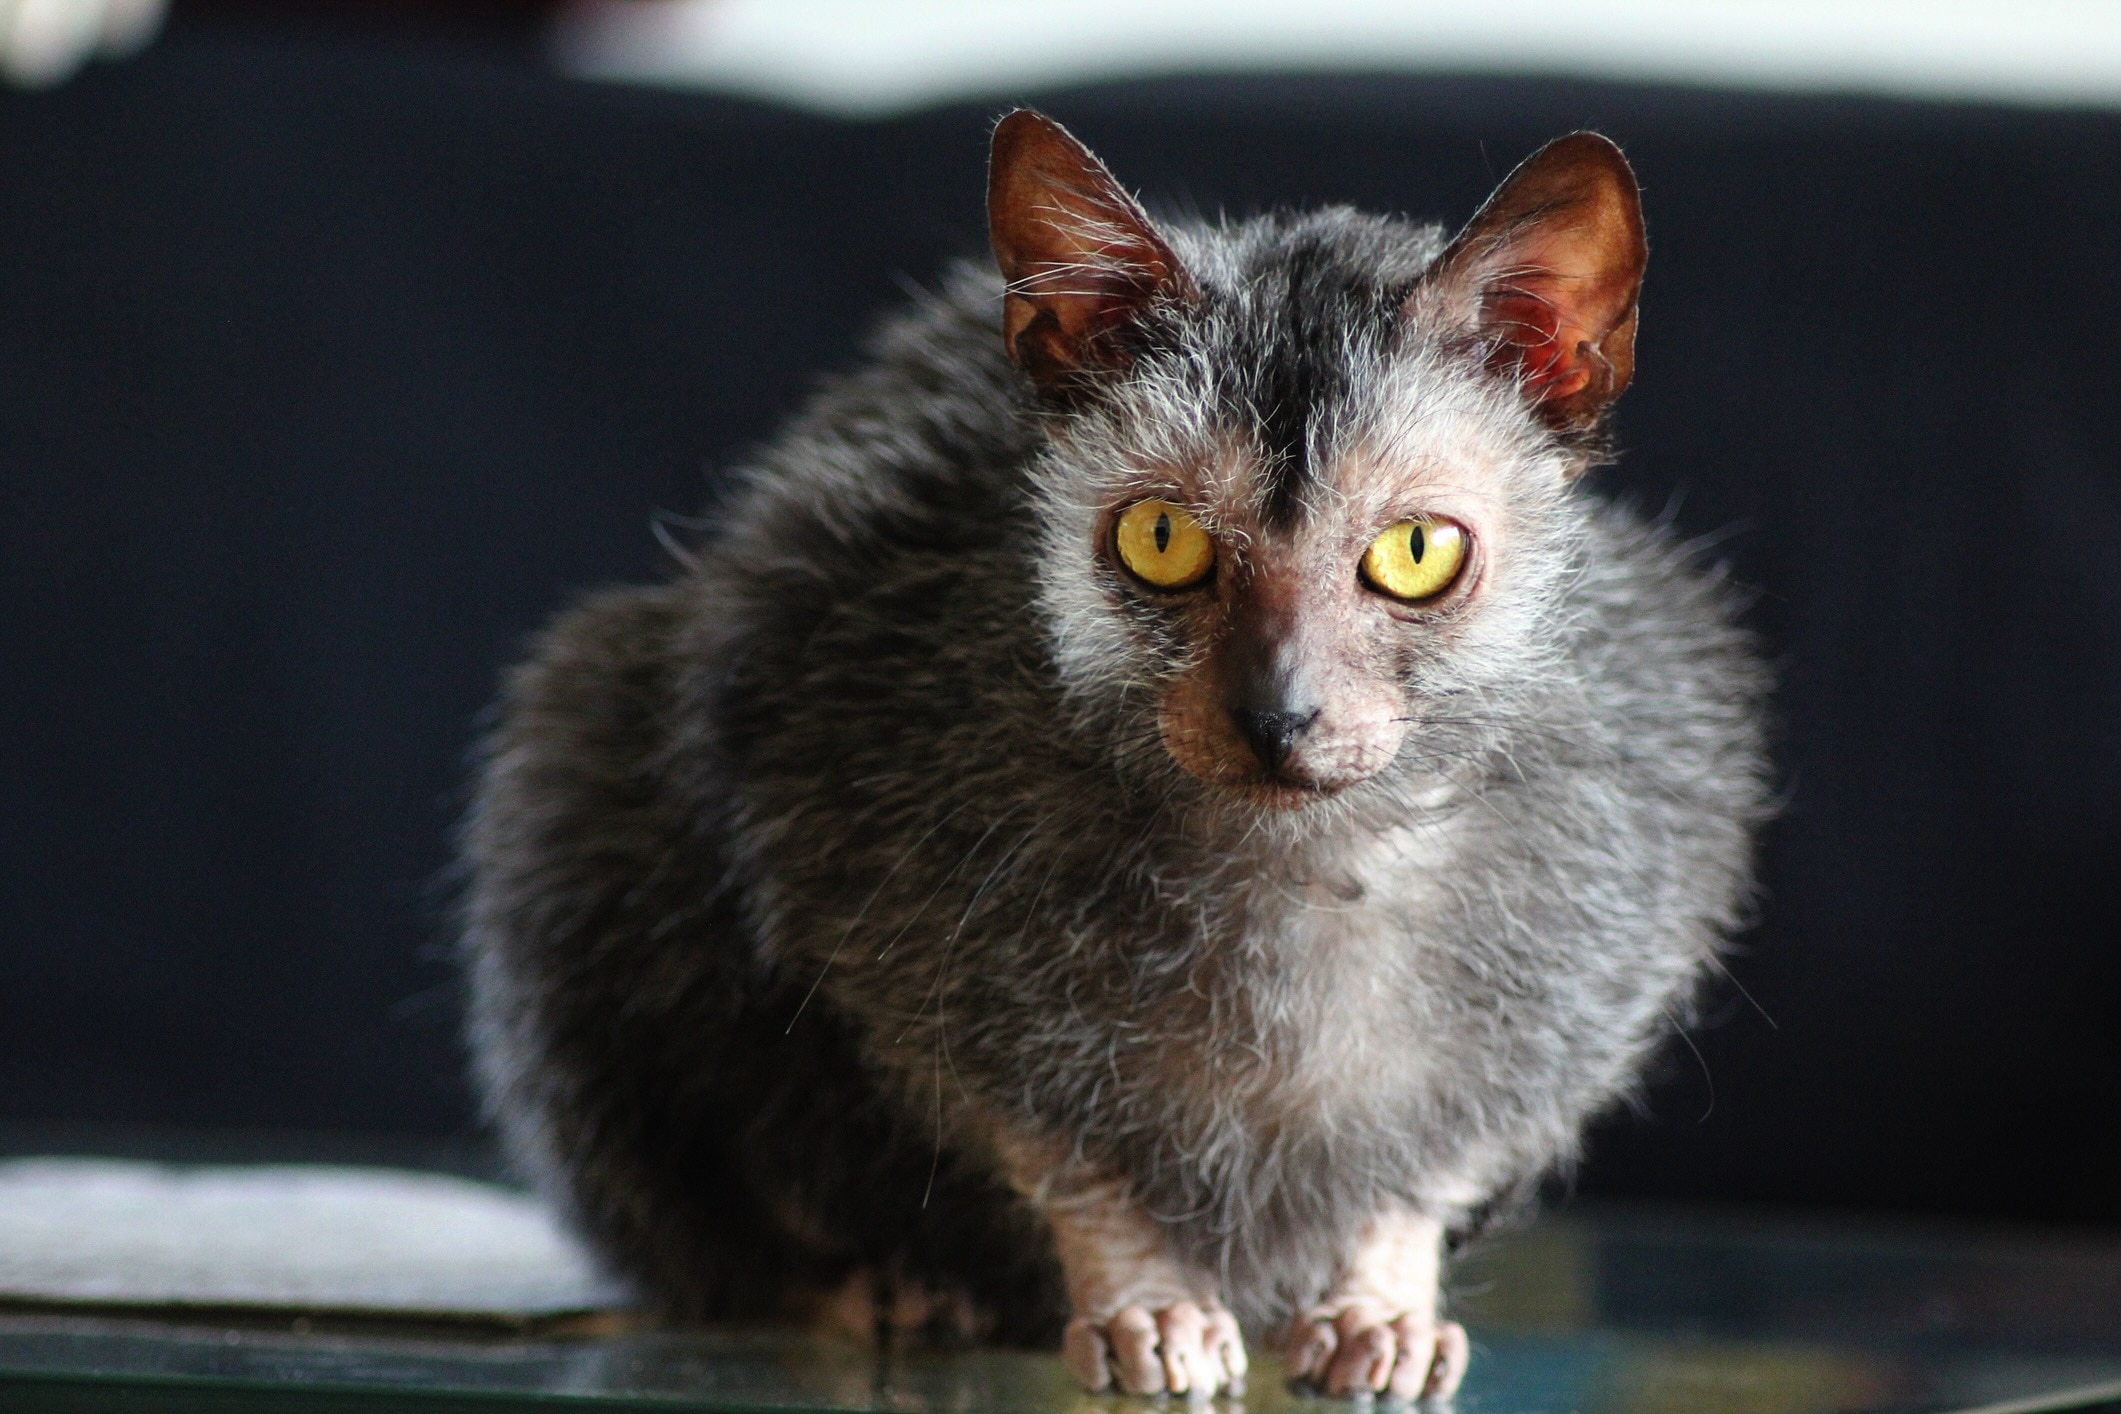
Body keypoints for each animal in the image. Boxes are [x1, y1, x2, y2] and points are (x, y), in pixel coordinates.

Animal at [460, 113, 1773, 1407]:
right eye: (1161, 539)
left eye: (1415, 552)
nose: (1278, 713)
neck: (1299, 868)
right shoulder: (845, 840)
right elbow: (1046, 1138)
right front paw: (1143, 1299)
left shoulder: (1624, 921)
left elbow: (1437, 1155)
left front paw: (1380, 1298)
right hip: (580, 747)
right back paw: (875, 1292)